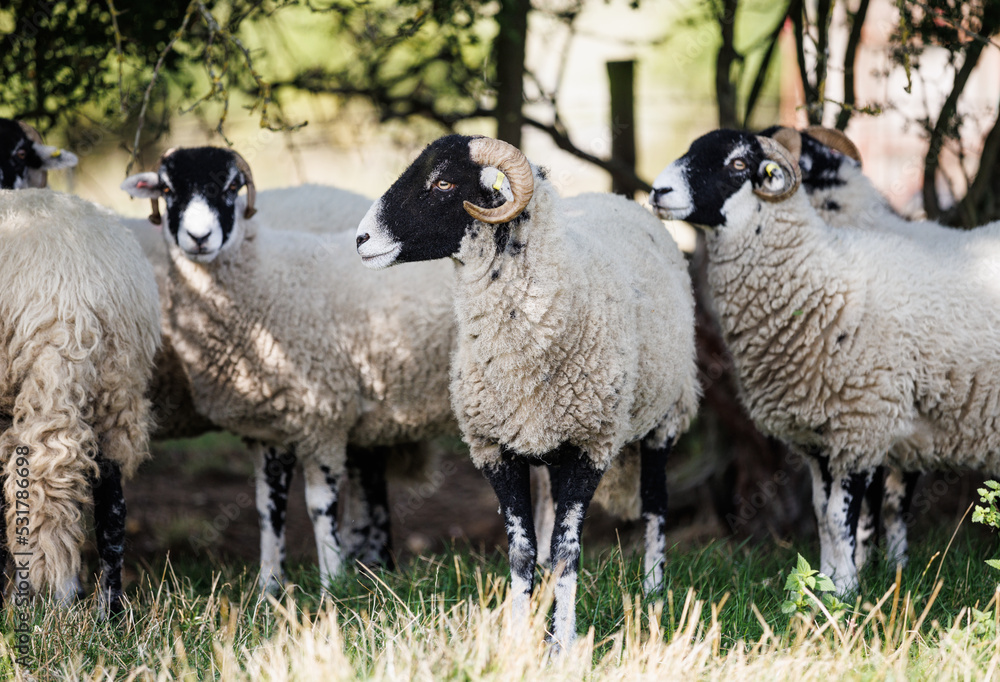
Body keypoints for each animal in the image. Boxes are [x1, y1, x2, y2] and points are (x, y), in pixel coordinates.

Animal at [0, 189, 160, 612]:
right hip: (117, 388)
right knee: (112, 505)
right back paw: (109, 611)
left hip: (49, 371)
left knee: (42, 487)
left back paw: (42, 602)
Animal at [121, 147, 459, 593]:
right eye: (167, 189)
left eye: (232, 187)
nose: (199, 238)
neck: (265, 283)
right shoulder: (267, 430)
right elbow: (267, 509)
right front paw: (268, 589)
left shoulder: (323, 417)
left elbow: (318, 507)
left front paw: (333, 586)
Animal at [355, 134, 699, 647]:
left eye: (443, 183)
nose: (360, 240)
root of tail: (617, 197)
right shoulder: (495, 449)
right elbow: (523, 550)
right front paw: (520, 638)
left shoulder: (590, 446)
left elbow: (567, 549)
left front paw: (564, 642)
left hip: (666, 415)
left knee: (656, 506)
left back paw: (654, 593)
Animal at [650, 128, 1000, 592]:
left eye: (738, 164)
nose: (658, 191)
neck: (826, 276)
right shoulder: (820, 437)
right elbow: (823, 515)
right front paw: (827, 582)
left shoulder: (863, 427)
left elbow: (844, 517)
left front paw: (848, 590)